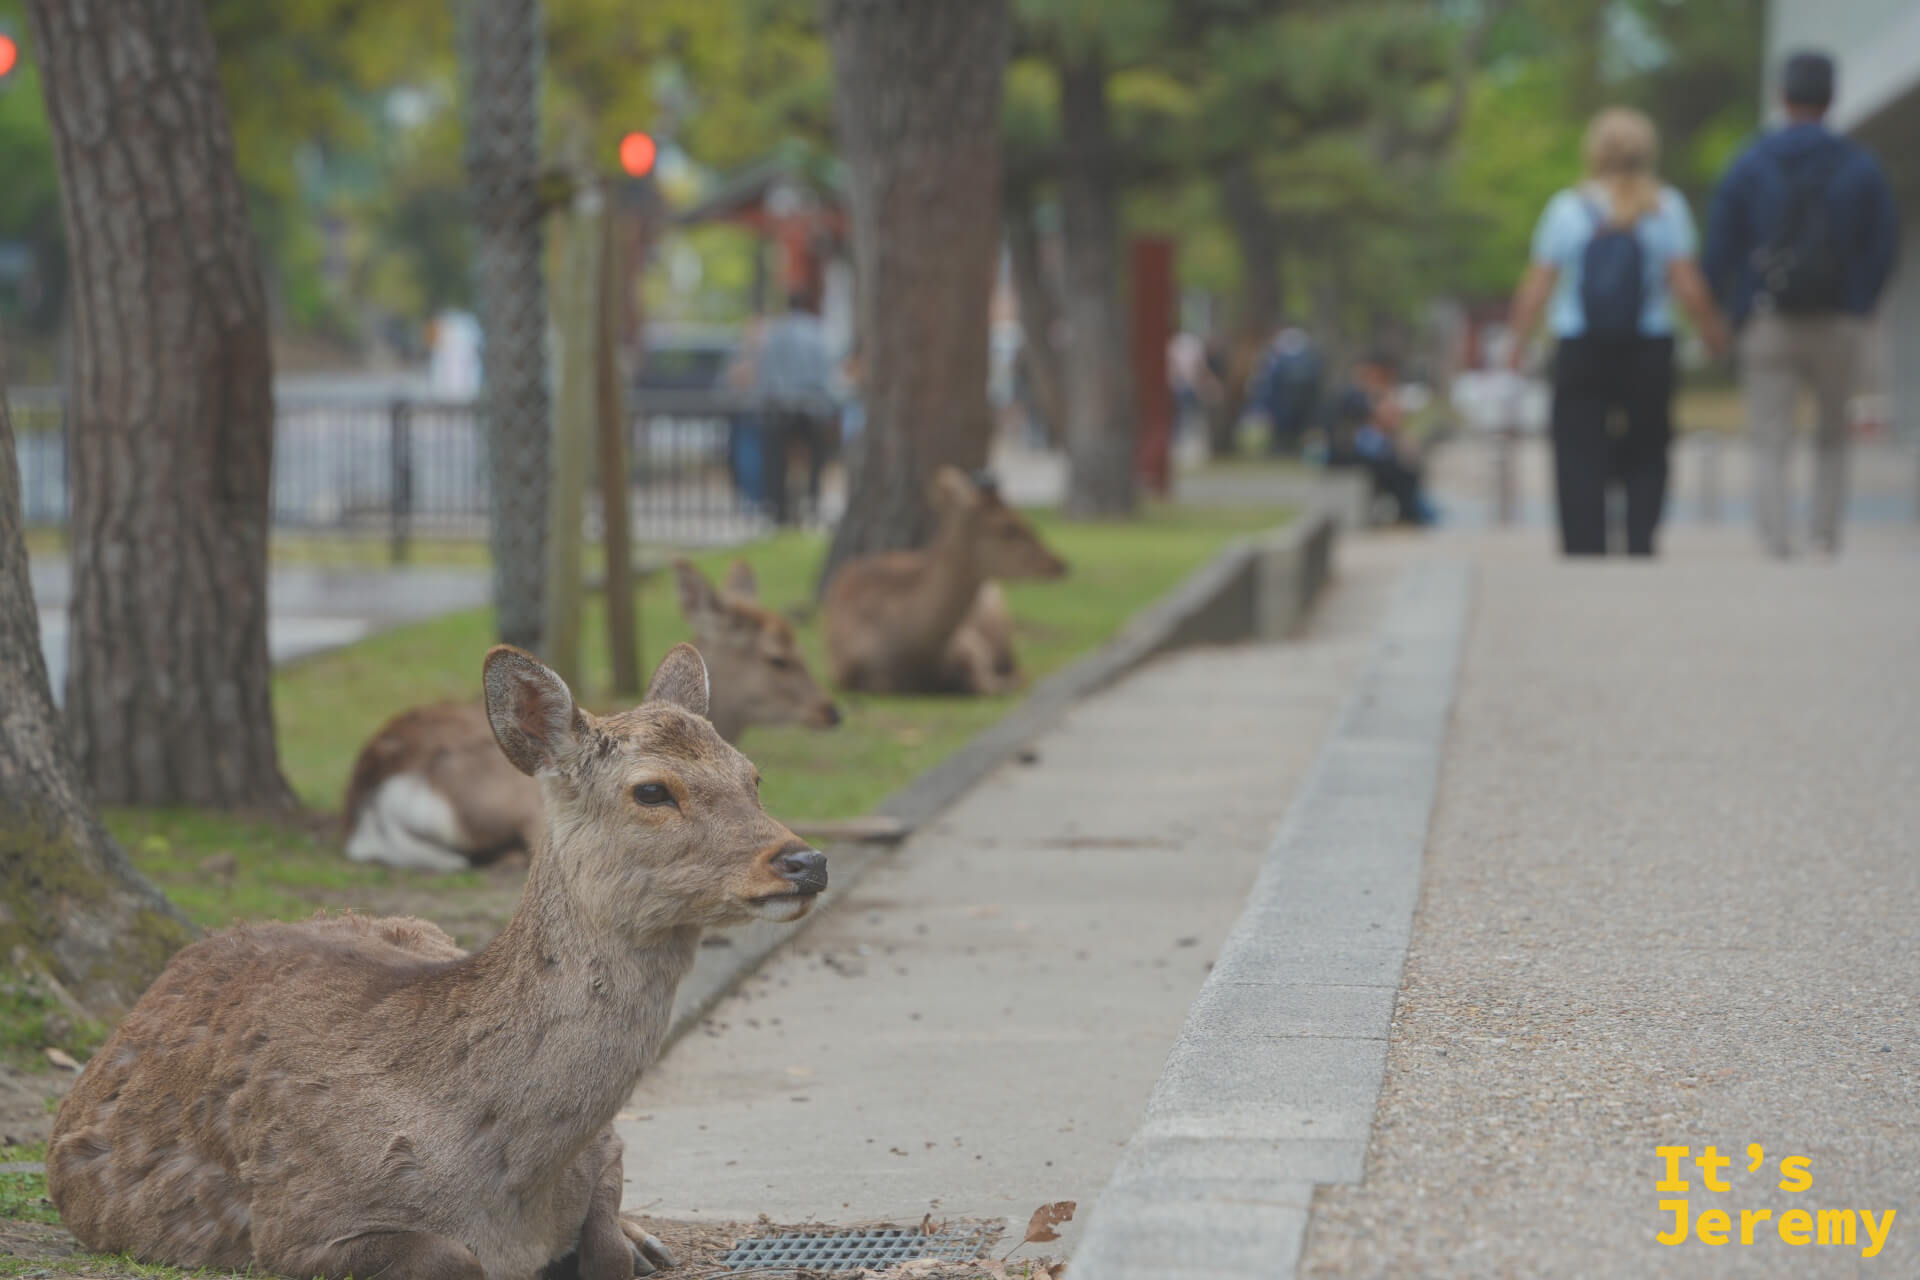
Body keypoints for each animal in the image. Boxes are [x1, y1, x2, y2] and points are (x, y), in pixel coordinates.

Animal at [48, 643, 825, 1280]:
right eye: (653, 790)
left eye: (753, 775)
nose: (806, 860)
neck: (510, 1186)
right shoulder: (295, 1224)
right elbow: (455, 1259)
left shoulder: (607, 1148)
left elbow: (604, 1239)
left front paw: (625, 1242)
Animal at [824, 466, 1067, 695]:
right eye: (1007, 527)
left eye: (1022, 515)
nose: (1059, 563)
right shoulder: (847, 673)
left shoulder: (971, 644)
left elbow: (993, 682)